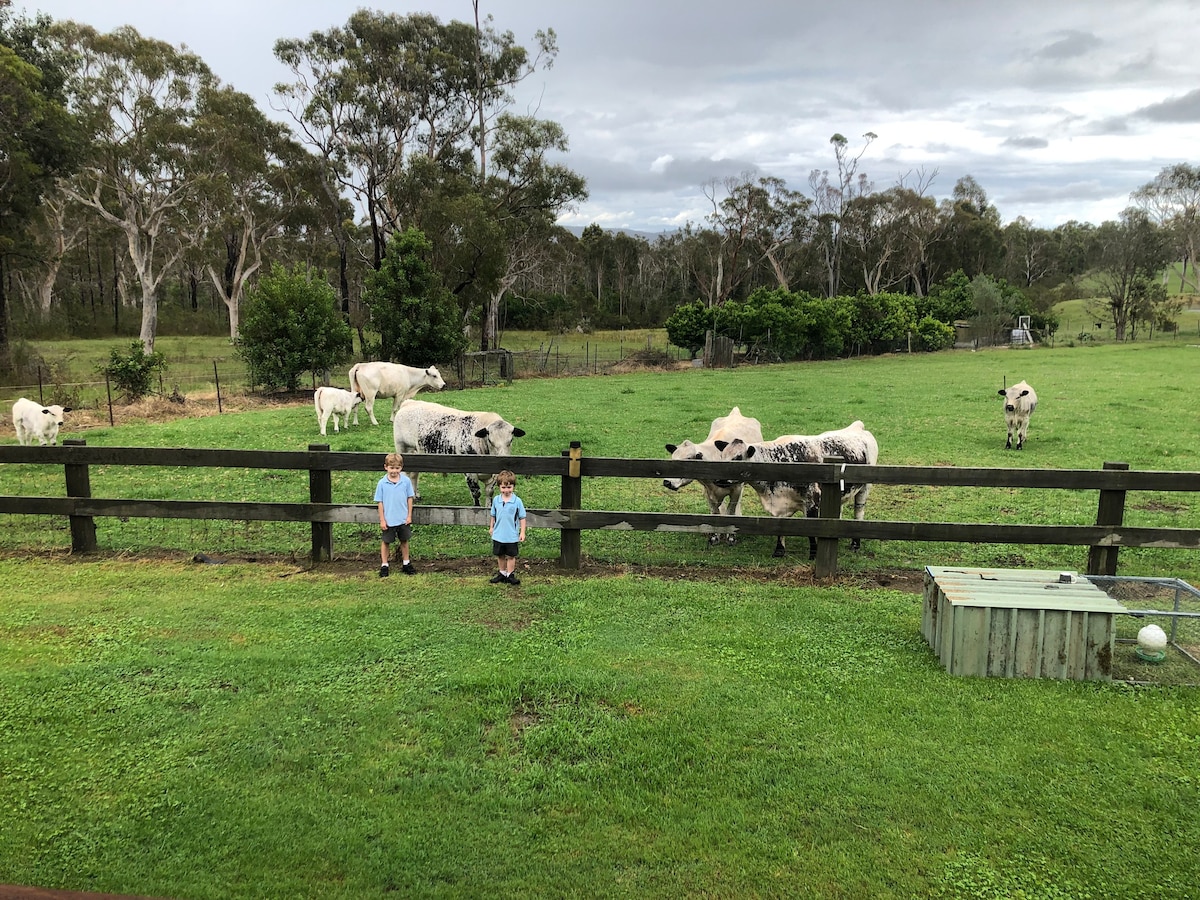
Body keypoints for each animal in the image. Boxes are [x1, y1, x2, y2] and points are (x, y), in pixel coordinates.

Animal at [393, 400, 525, 508]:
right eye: (490, 441)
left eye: (511, 440)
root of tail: (409, 402)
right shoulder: (470, 473)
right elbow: (476, 492)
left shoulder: (493, 475)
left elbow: (489, 492)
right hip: (402, 448)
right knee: (405, 474)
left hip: (416, 453)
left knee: (414, 474)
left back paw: (416, 495)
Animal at [662, 408, 763, 549]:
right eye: (672, 458)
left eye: (687, 459)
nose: (667, 482)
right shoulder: (708, 491)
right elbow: (715, 512)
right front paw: (715, 536)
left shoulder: (737, 489)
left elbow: (731, 511)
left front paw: (731, 537)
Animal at [715, 422, 878, 561]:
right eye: (722, 456)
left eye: (737, 457)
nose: (718, 479)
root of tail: (857, 426)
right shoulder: (781, 504)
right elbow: (780, 528)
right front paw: (779, 551)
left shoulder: (812, 503)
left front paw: (814, 554)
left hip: (865, 488)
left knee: (859, 513)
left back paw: (855, 544)